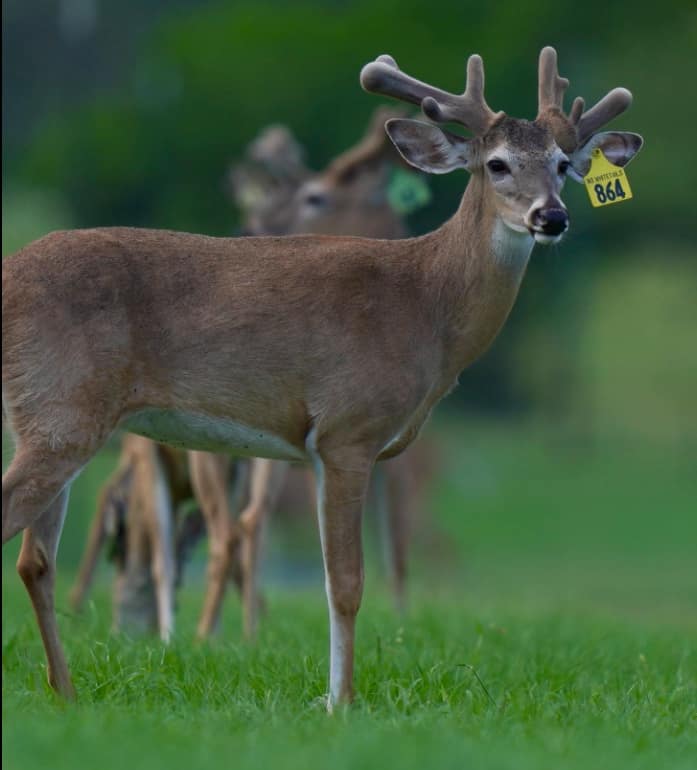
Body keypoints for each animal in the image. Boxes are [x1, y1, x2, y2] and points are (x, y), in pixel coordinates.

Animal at [1, 47, 642, 708]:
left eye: (563, 164)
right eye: (497, 164)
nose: (552, 216)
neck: (426, 307)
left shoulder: (317, 449)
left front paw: (332, 695)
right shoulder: (347, 430)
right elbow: (347, 582)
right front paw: (342, 702)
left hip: (49, 420)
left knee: (35, 560)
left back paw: (65, 692)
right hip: (62, 411)